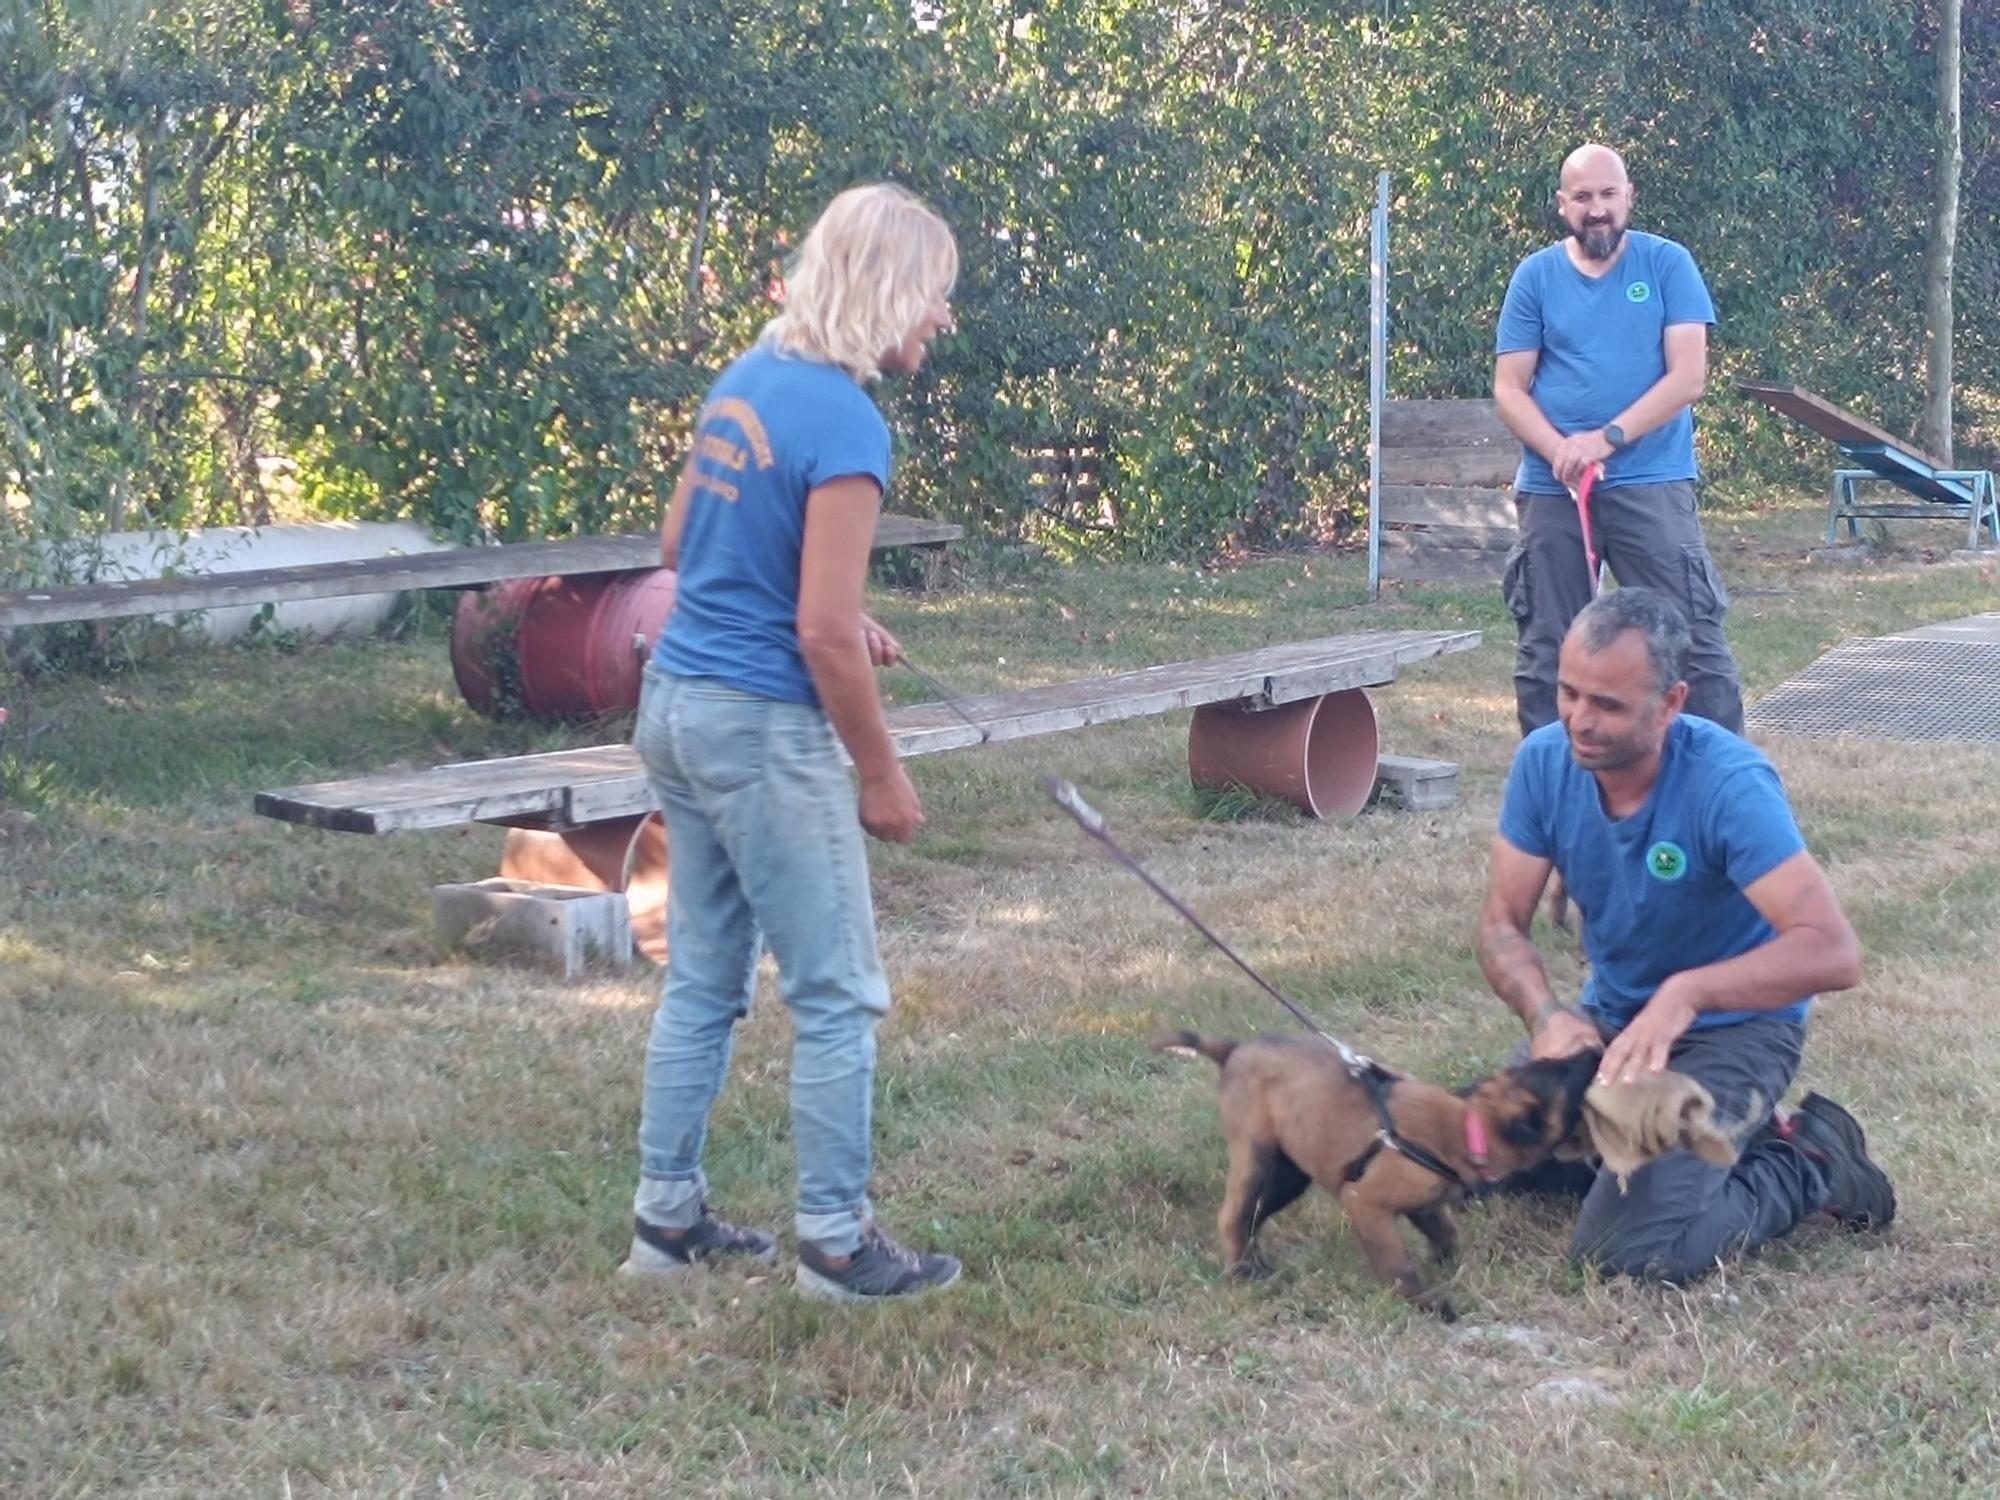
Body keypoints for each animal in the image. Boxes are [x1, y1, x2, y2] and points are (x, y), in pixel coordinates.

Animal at [1160, 1032, 1592, 1328]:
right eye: (1568, 1076)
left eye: (1558, 1063)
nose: (1593, 1048)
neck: (1467, 1125)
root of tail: (1234, 1049)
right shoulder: (1366, 1203)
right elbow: (1398, 1264)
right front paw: (1427, 1302)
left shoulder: (1425, 1204)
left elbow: (1445, 1231)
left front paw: (1445, 1261)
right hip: (1256, 1156)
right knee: (1233, 1215)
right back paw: (1242, 1272)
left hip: (1290, 1173)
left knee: (1255, 1213)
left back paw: (1258, 1261)